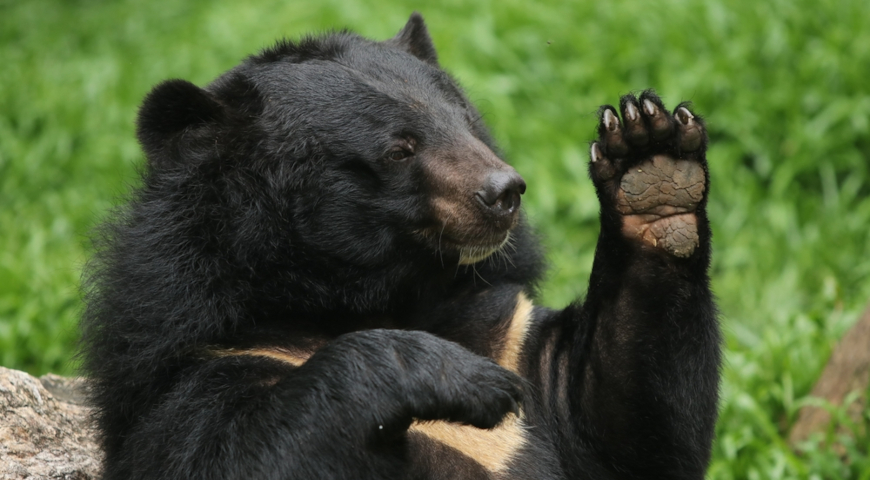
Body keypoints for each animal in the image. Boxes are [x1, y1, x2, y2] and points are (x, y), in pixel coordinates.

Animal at [81, 13, 721, 480]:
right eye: (399, 149)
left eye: (463, 119)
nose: (504, 191)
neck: (376, 295)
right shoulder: (206, 361)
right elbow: (231, 453)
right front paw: (465, 380)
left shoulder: (507, 335)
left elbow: (625, 424)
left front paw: (651, 163)